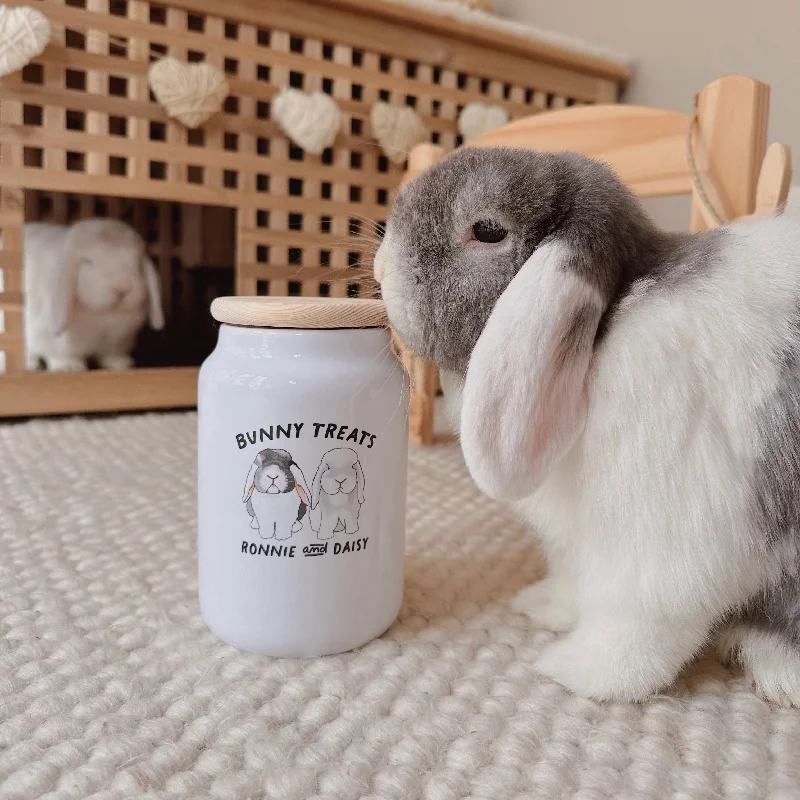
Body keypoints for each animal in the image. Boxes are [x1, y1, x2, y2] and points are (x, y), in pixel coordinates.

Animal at [376, 147, 800, 704]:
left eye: (488, 230)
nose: (381, 266)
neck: (603, 334)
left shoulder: (663, 550)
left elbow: (638, 629)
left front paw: (574, 671)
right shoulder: (577, 544)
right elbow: (570, 582)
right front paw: (541, 606)